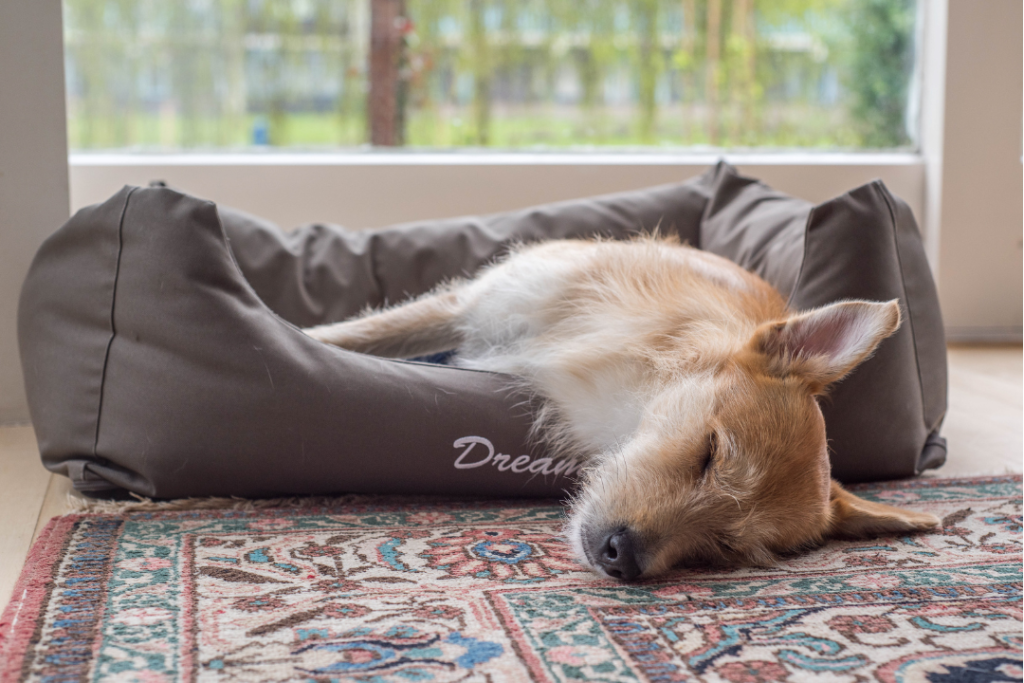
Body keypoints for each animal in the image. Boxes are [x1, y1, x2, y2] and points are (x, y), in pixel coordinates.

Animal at [301, 237, 937, 581]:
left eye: (724, 548)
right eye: (710, 453)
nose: (622, 557)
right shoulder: (471, 307)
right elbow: (349, 336)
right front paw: (297, 337)